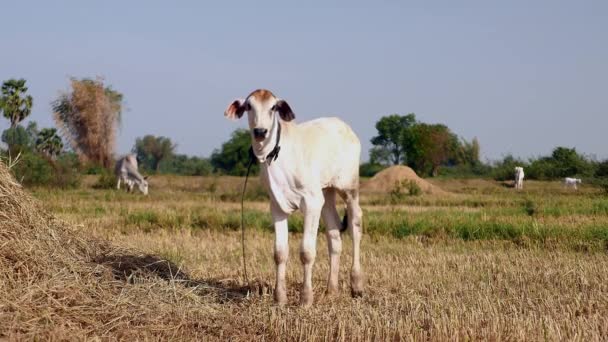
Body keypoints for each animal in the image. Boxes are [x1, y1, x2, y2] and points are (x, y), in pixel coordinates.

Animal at [224, 89, 364, 308]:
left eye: (273, 107)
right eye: (248, 106)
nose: (260, 131)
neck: (276, 156)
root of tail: (344, 127)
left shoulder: (311, 203)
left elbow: (307, 252)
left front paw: (305, 299)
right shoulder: (277, 206)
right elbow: (280, 253)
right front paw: (280, 298)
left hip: (349, 188)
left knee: (355, 225)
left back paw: (356, 284)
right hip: (326, 193)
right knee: (334, 234)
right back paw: (331, 290)